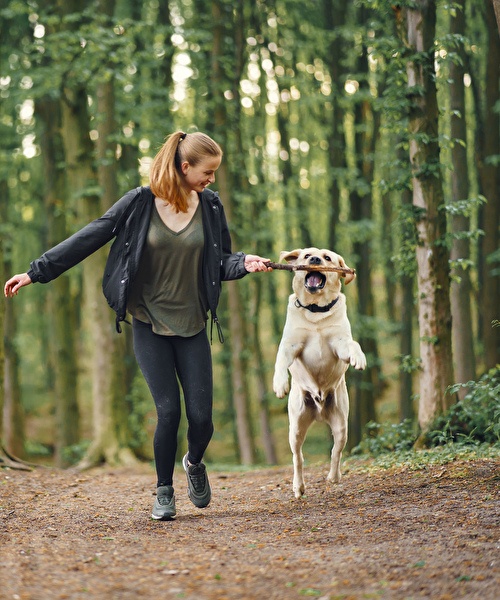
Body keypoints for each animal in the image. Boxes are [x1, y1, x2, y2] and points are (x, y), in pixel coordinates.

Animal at [274, 247, 368, 496]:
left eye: (327, 258)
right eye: (306, 255)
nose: (315, 259)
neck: (315, 310)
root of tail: (318, 411)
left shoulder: (340, 344)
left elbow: (353, 344)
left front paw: (359, 357)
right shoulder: (290, 345)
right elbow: (280, 361)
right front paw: (280, 384)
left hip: (342, 423)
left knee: (336, 451)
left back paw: (334, 477)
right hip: (296, 427)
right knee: (298, 458)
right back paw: (298, 486)